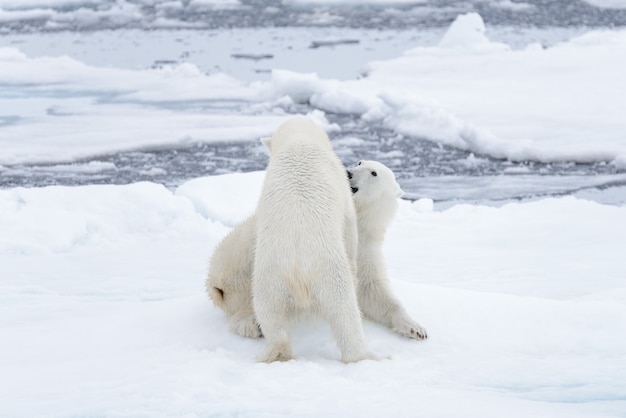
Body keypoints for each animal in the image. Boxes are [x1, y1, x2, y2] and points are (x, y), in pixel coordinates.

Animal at [250, 117, 372, 362]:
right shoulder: (341, 186)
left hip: (268, 278)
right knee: (344, 312)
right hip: (329, 273)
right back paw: (363, 355)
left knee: (271, 317)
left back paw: (277, 351)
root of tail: (297, 271)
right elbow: (350, 228)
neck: (298, 140)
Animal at [344, 160, 426, 340]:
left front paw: (415, 328)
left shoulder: (364, 248)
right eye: (360, 162)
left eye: (374, 173)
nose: (349, 173)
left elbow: (371, 287)